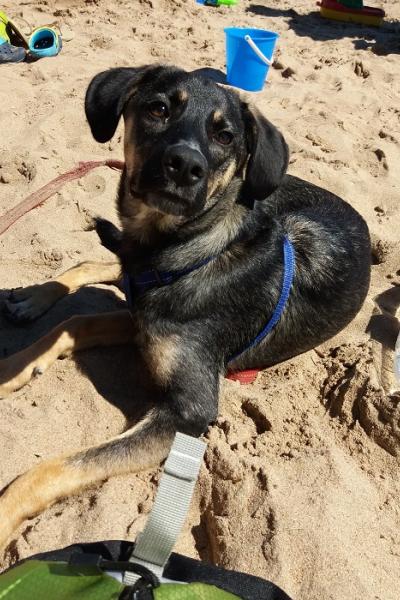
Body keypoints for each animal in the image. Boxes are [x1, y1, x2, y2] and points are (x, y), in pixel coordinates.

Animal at [0, 65, 371, 549]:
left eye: (226, 136)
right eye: (158, 108)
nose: (185, 165)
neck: (190, 249)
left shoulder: (188, 409)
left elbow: (54, 466)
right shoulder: (143, 318)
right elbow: (78, 320)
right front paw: (14, 365)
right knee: (103, 263)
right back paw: (35, 297)